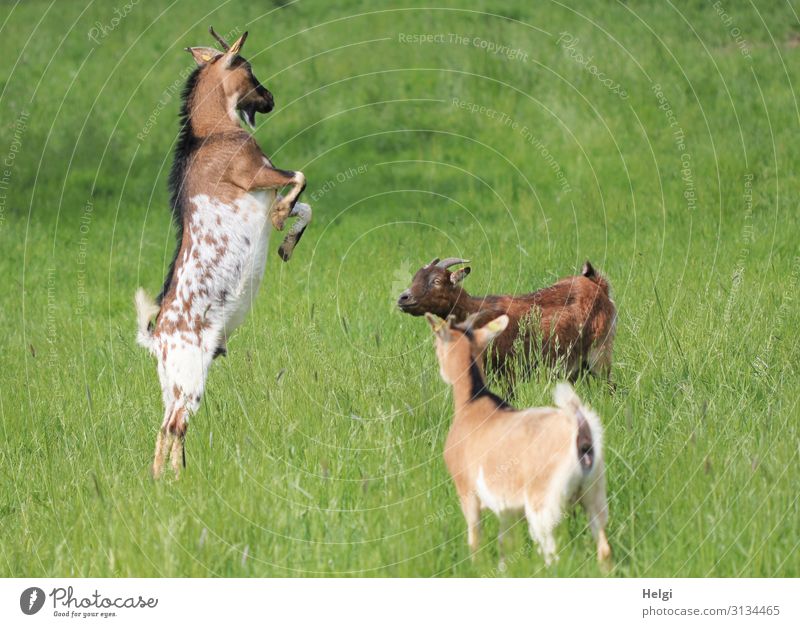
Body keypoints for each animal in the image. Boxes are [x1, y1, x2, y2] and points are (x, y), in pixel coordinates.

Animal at [134, 27, 310, 478]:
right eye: (247, 67)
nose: (271, 99)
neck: (214, 132)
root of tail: (156, 337)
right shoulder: (256, 175)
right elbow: (300, 177)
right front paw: (282, 219)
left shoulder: (263, 188)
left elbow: (305, 207)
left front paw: (286, 243)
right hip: (191, 372)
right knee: (176, 425)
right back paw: (179, 479)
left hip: (173, 382)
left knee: (163, 427)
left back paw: (162, 480)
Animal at [396, 256, 616, 382]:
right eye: (415, 278)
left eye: (437, 281)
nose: (403, 298)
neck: (475, 310)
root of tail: (599, 285)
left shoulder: (509, 368)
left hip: (599, 350)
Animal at [428, 316, 608, 568]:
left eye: (437, 345)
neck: (473, 401)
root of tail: (580, 428)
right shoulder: (507, 509)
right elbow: (506, 543)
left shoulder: (467, 493)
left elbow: (475, 540)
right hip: (595, 494)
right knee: (604, 547)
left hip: (543, 506)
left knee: (554, 554)